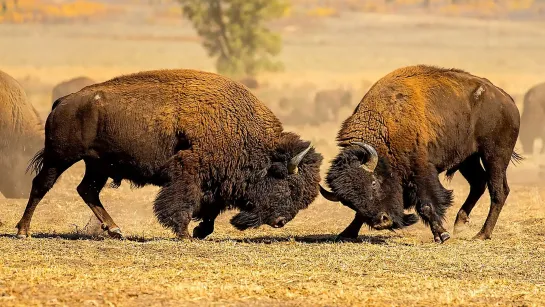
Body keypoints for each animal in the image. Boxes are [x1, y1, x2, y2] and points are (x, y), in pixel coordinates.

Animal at [17, 70, 320, 241]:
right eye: (288, 186)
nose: (280, 222)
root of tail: (63, 102)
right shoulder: (189, 173)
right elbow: (182, 203)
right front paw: (185, 234)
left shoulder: (215, 183)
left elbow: (210, 209)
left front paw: (199, 232)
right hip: (61, 157)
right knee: (41, 186)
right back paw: (23, 231)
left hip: (97, 165)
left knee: (87, 190)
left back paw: (115, 230)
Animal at [320, 65, 520, 243]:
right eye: (348, 202)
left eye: (374, 183)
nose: (382, 222)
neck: (385, 127)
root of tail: (507, 100)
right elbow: (360, 214)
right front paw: (346, 233)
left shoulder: (421, 171)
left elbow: (426, 204)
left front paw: (442, 235)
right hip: (468, 160)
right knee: (478, 184)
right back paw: (460, 223)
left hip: (494, 156)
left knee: (498, 191)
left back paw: (482, 235)